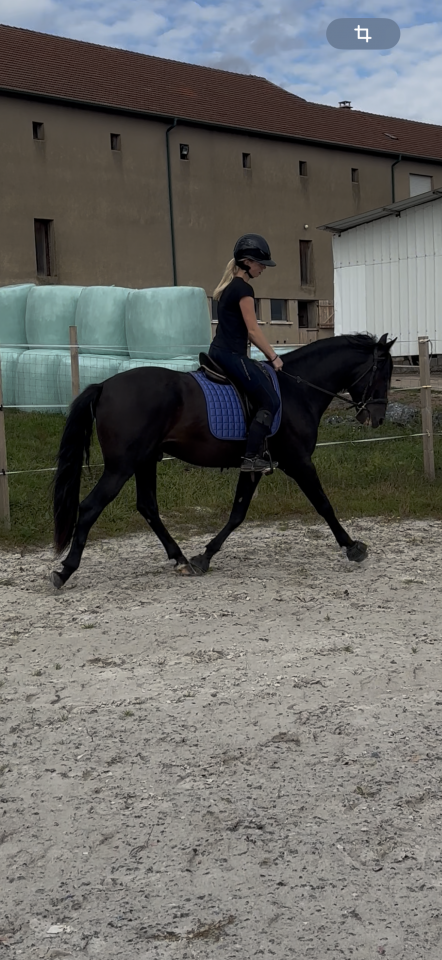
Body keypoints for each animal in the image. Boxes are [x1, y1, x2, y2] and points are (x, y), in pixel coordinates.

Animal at [51, 333, 395, 587]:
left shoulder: (254, 466)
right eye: (384, 371)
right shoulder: (298, 462)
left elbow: (237, 513)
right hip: (121, 467)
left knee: (147, 507)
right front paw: (353, 547)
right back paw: (65, 571)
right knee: (90, 507)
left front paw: (204, 557)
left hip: (145, 461)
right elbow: (324, 505)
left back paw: (180, 558)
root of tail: (105, 386)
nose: (377, 418)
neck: (296, 390)